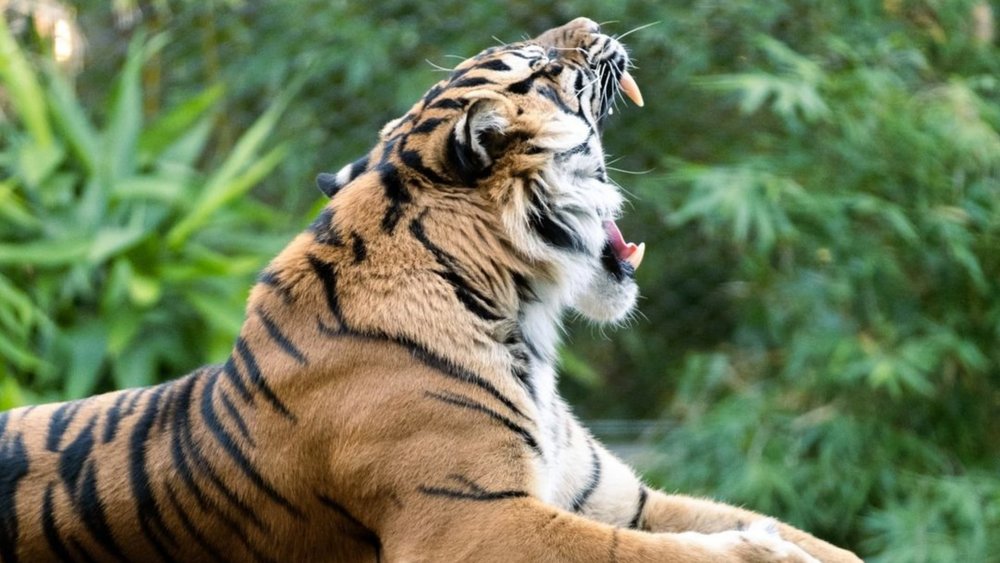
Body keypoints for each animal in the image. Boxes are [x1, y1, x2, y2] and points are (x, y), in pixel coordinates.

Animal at [0, 17, 862, 563]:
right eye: (540, 66)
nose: (590, 21)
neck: (519, 306)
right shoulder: (473, 522)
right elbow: (655, 554)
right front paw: (760, 554)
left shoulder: (610, 494)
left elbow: (791, 528)